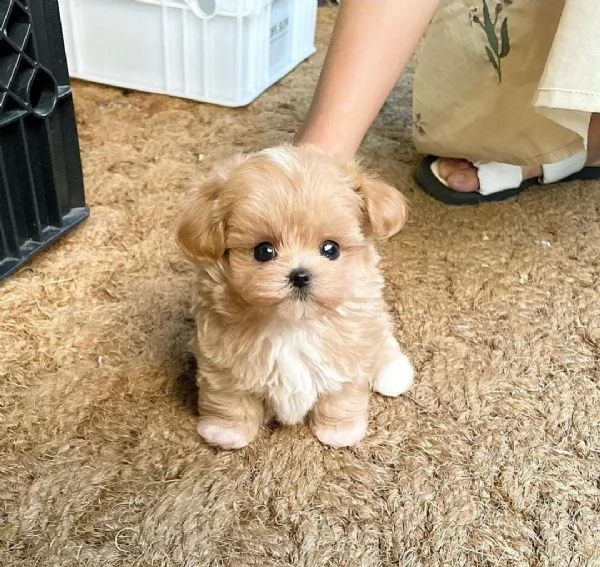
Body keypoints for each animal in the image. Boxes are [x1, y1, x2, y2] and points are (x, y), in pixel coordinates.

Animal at [176, 144, 414, 450]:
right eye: (263, 251)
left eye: (331, 249)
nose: (300, 275)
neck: (294, 323)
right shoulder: (221, 362)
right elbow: (228, 398)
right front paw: (226, 432)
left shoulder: (349, 351)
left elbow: (341, 395)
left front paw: (340, 431)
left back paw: (393, 371)